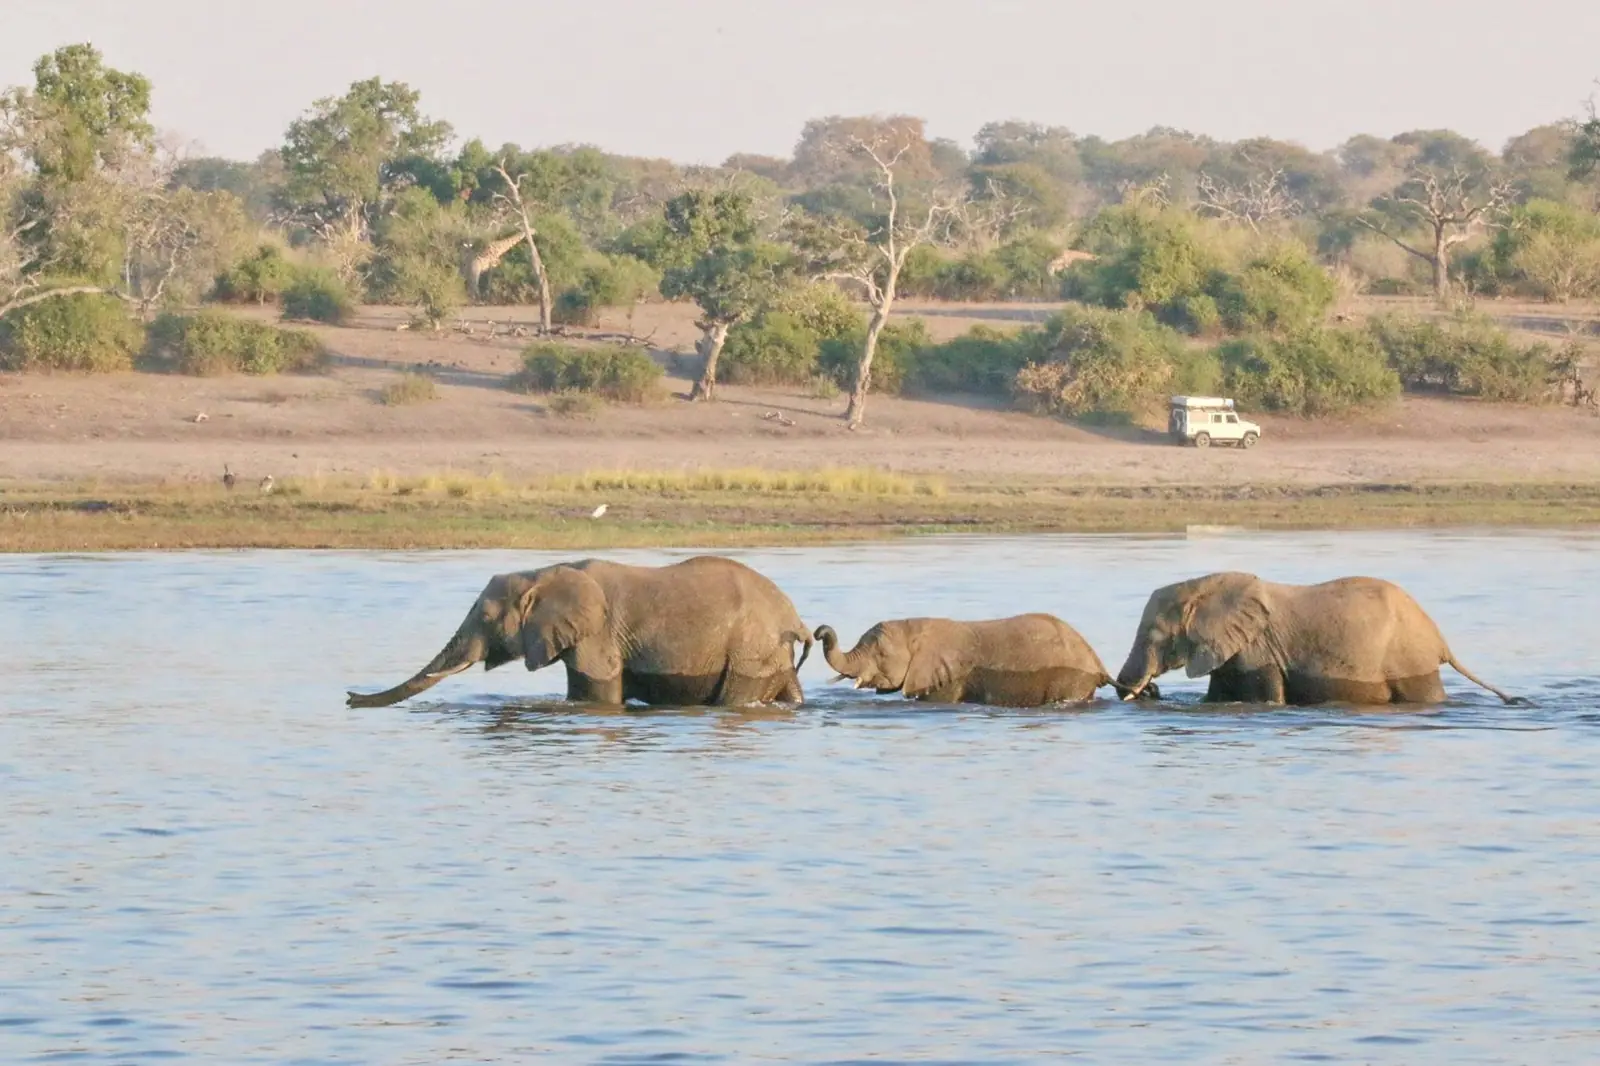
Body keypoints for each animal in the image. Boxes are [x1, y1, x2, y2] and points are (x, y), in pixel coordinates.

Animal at [346, 556, 813, 708]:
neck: (542, 573)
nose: (350, 698)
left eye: (487, 617)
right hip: (768, 655)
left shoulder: (598, 636)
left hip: (750, 651)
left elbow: (597, 693)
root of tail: (795, 619)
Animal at [813, 613, 1149, 706]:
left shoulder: (948, 679)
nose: (819, 631)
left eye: (880, 655)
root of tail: (1097, 662)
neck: (916, 628)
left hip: (1070, 679)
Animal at [1115, 571, 1522, 706]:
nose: (1145, 689)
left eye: (1154, 635)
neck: (1203, 586)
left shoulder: (1259, 648)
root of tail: (1441, 641)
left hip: (1410, 660)